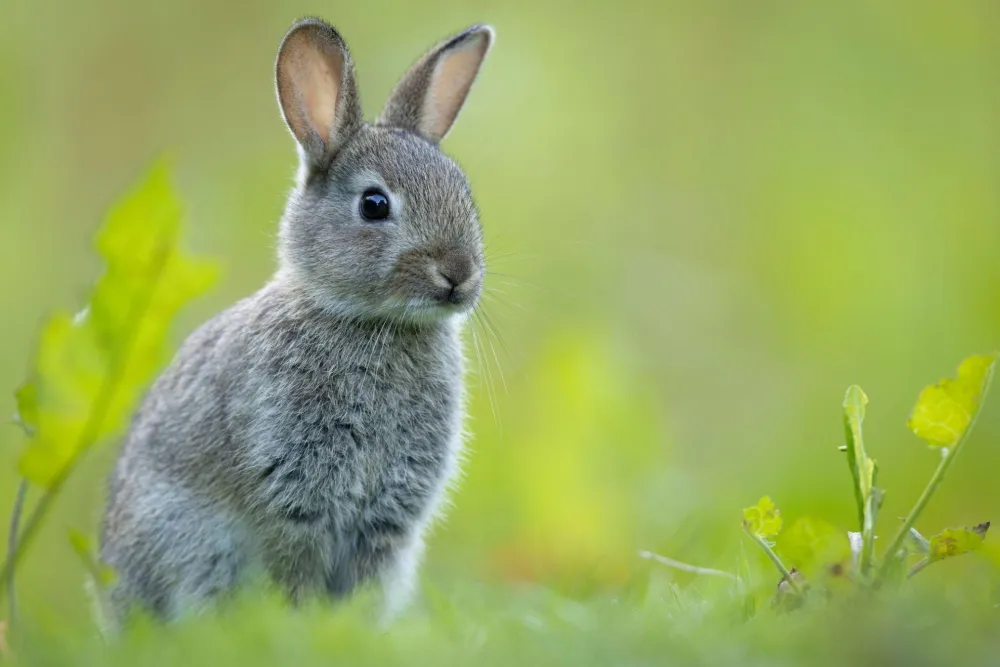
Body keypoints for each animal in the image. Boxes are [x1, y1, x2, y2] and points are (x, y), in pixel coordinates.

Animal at [98, 17, 495, 628]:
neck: (370, 322)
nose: (459, 273)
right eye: (375, 205)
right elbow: (297, 571)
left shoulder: (388, 518)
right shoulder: (293, 497)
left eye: (464, 194)